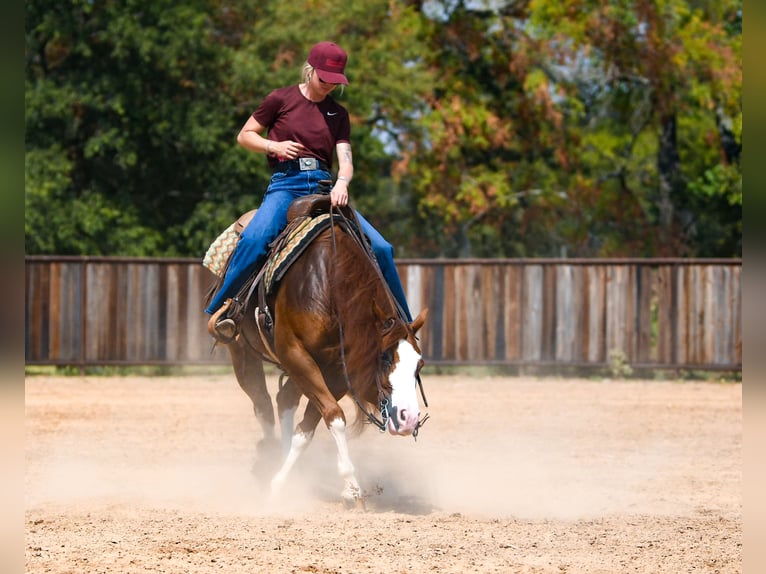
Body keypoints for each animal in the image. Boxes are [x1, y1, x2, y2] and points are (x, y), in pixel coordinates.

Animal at [206, 194, 429, 504]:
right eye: (384, 358)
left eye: (419, 365)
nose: (408, 419)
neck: (331, 285)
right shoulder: (295, 353)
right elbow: (334, 416)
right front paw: (350, 484)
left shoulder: (336, 370)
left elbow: (310, 426)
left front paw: (290, 480)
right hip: (243, 352)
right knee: (262, 403)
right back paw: (269, 458)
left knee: (284, 399)